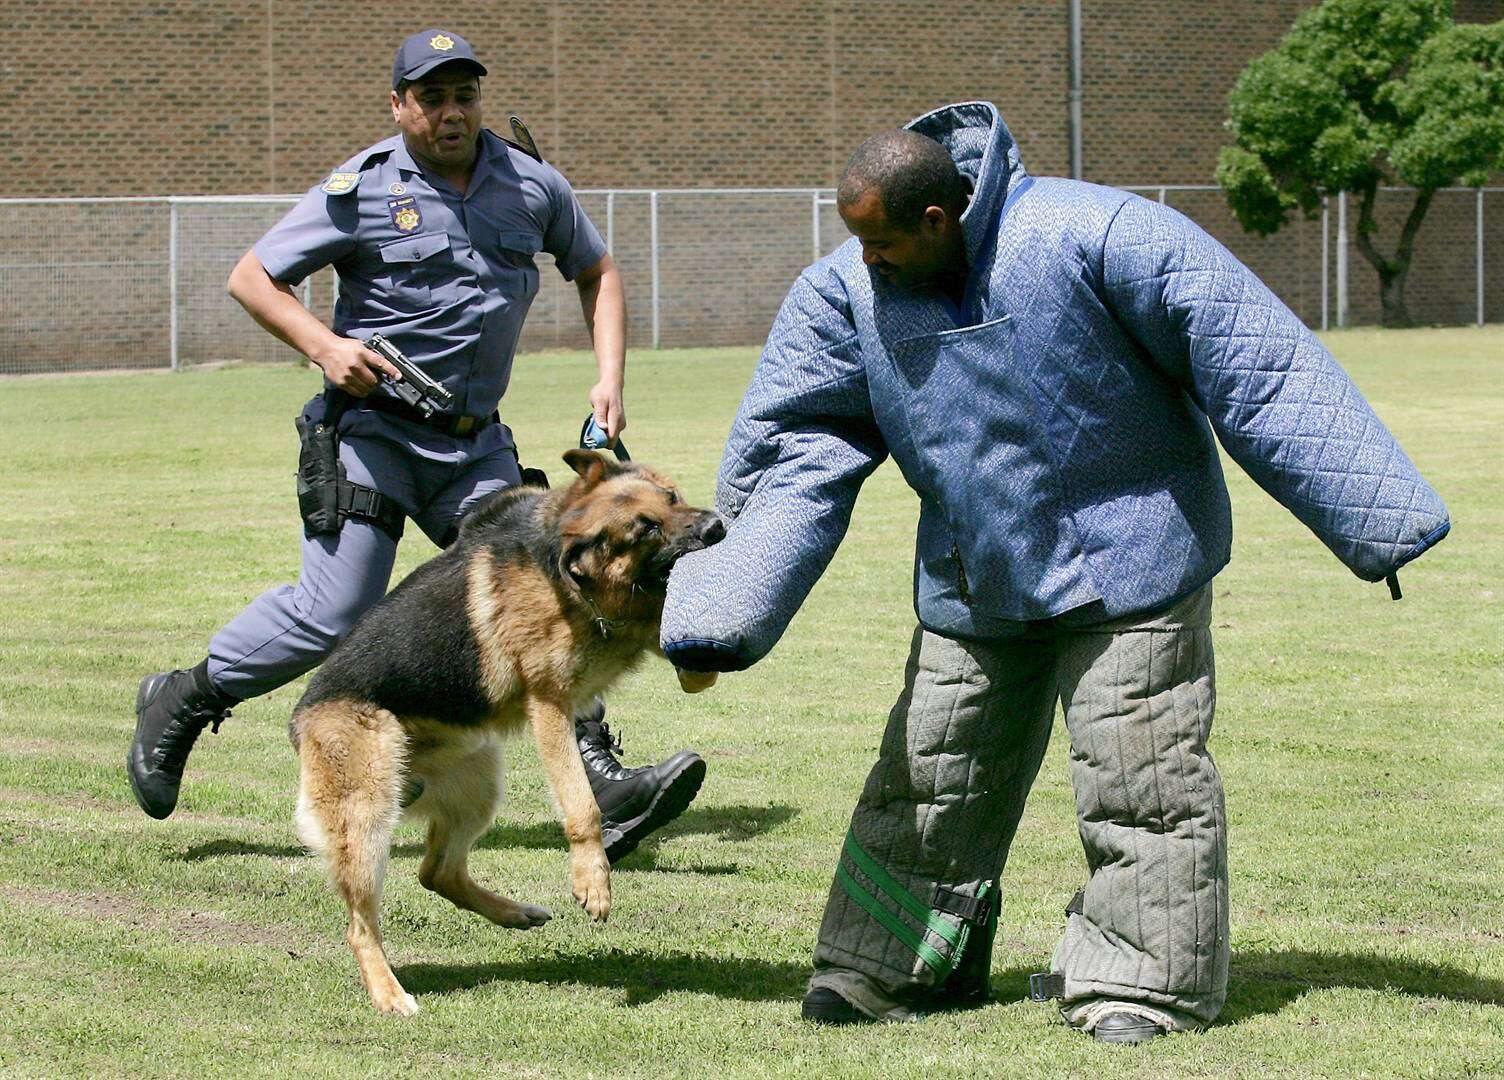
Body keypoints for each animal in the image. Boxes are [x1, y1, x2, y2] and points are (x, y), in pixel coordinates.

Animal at [290, 448, 724, 1016]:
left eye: (672, 498)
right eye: (645, 528)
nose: (717, 526)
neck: (567, 575)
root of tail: (302, 719)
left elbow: (683, 653)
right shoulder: (549, 705)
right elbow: (581, 806)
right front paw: (593, 880)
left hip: (476, 785)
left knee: (438, 873)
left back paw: (515, 913)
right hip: (366, 825)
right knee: (361, 927)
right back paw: (389, 993)